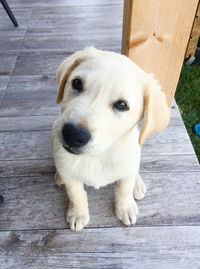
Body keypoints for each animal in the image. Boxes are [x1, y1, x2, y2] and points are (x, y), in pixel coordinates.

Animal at [52, 46, 170, 230]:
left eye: (122, 105)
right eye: (77, 83)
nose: (73, 134)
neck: (98, 156)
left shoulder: (127, 169)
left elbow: (124, 188)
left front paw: (125, 208)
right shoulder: (70, 176)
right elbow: (76, 193)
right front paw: (78, 213)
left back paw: (137, 185)